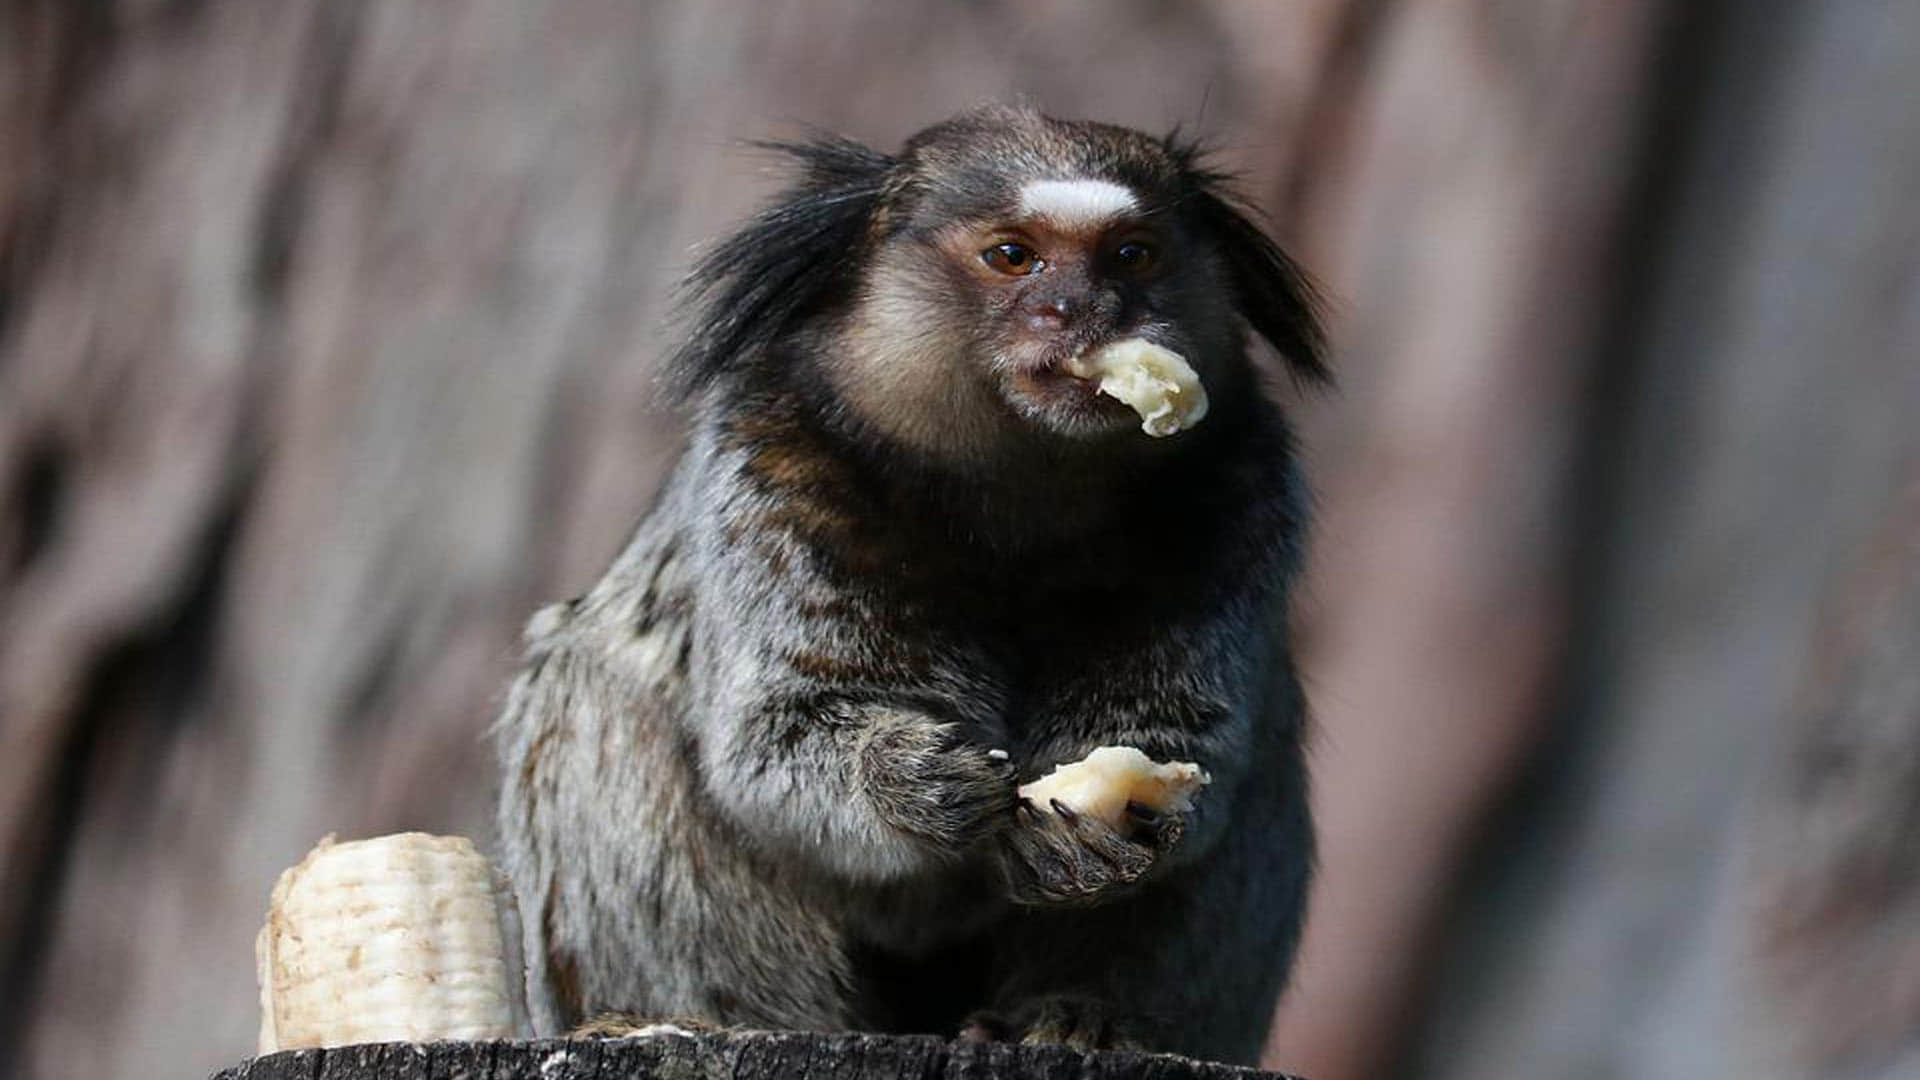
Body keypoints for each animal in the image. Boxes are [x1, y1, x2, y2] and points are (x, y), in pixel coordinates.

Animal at [494, 104, 1326, 1066]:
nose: (1084, 313)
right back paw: (705, 1016)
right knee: (599, 693)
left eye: (1132, 255)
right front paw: (913, 782)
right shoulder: (771, 467)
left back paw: (1081, 1016)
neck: (1019, 501)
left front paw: (1115, 823)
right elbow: (773, 743)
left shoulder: (1247, 494)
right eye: (1013, 256)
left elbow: (1193, 744)